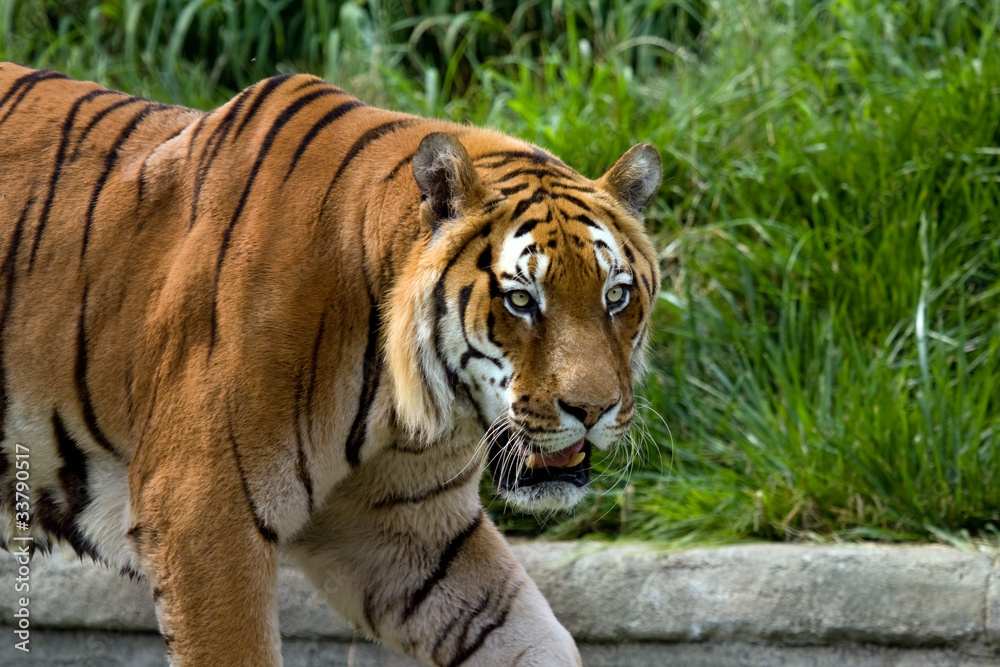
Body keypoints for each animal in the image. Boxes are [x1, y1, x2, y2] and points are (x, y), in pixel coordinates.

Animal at [0, 62, 661, 666]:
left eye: (615, 296)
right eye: (522, 300)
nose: (593, 410)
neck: (399, 405)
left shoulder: (408, 532)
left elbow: (532, 637)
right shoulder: (200, 517)